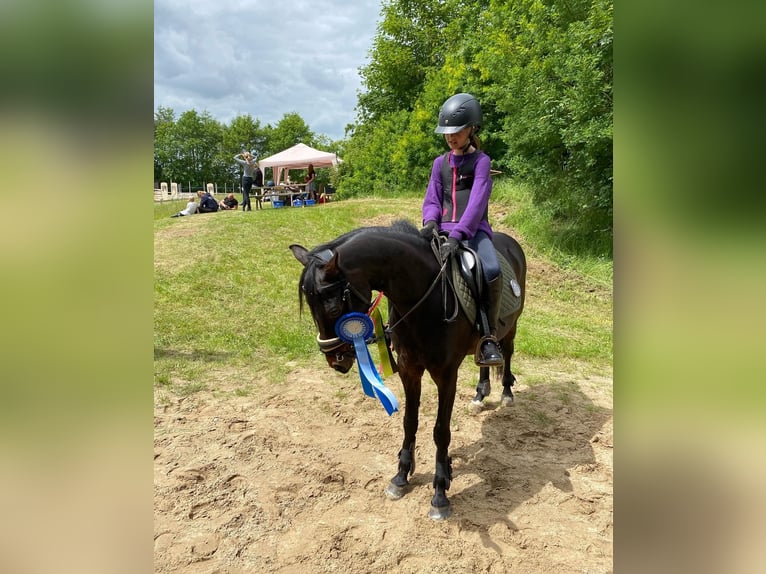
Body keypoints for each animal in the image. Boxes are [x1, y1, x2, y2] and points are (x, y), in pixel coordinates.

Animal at [290, 220, 526, 519]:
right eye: (310, 306)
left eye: (332, 306)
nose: (336, 361)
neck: (424, 297)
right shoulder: (408, 369)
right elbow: (409, 421)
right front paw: (401, 476)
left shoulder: (446, 375)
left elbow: (441, 430)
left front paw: (440, 493)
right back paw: (480, 395)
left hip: (512, 325)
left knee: (506, 351)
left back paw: (506, 393)